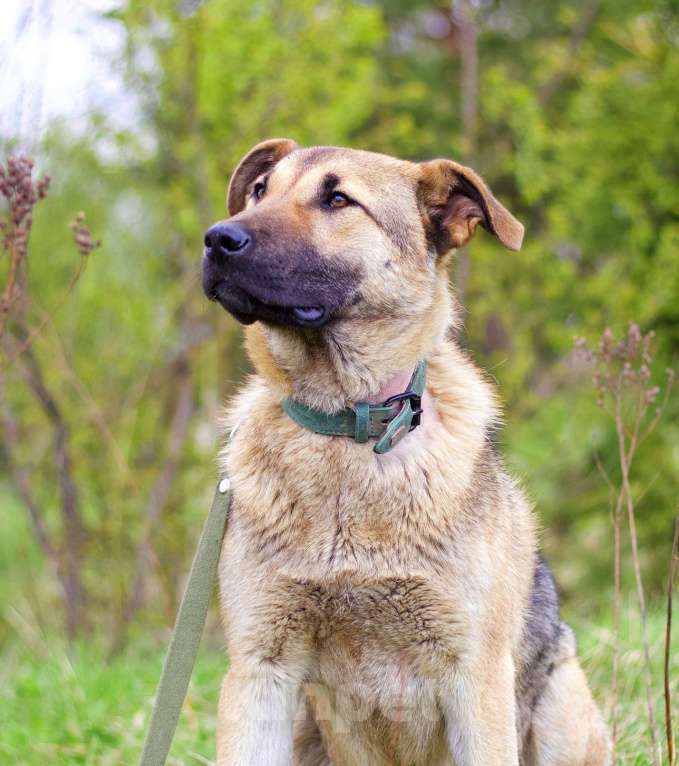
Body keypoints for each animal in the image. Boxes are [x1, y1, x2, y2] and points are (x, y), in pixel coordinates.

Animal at [202, 140, 612, 766]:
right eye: (259, 191)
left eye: (337, 199)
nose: (216, 238)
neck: (348, 425)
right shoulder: (258, 672)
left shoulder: (475, 678)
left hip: (561, 708)